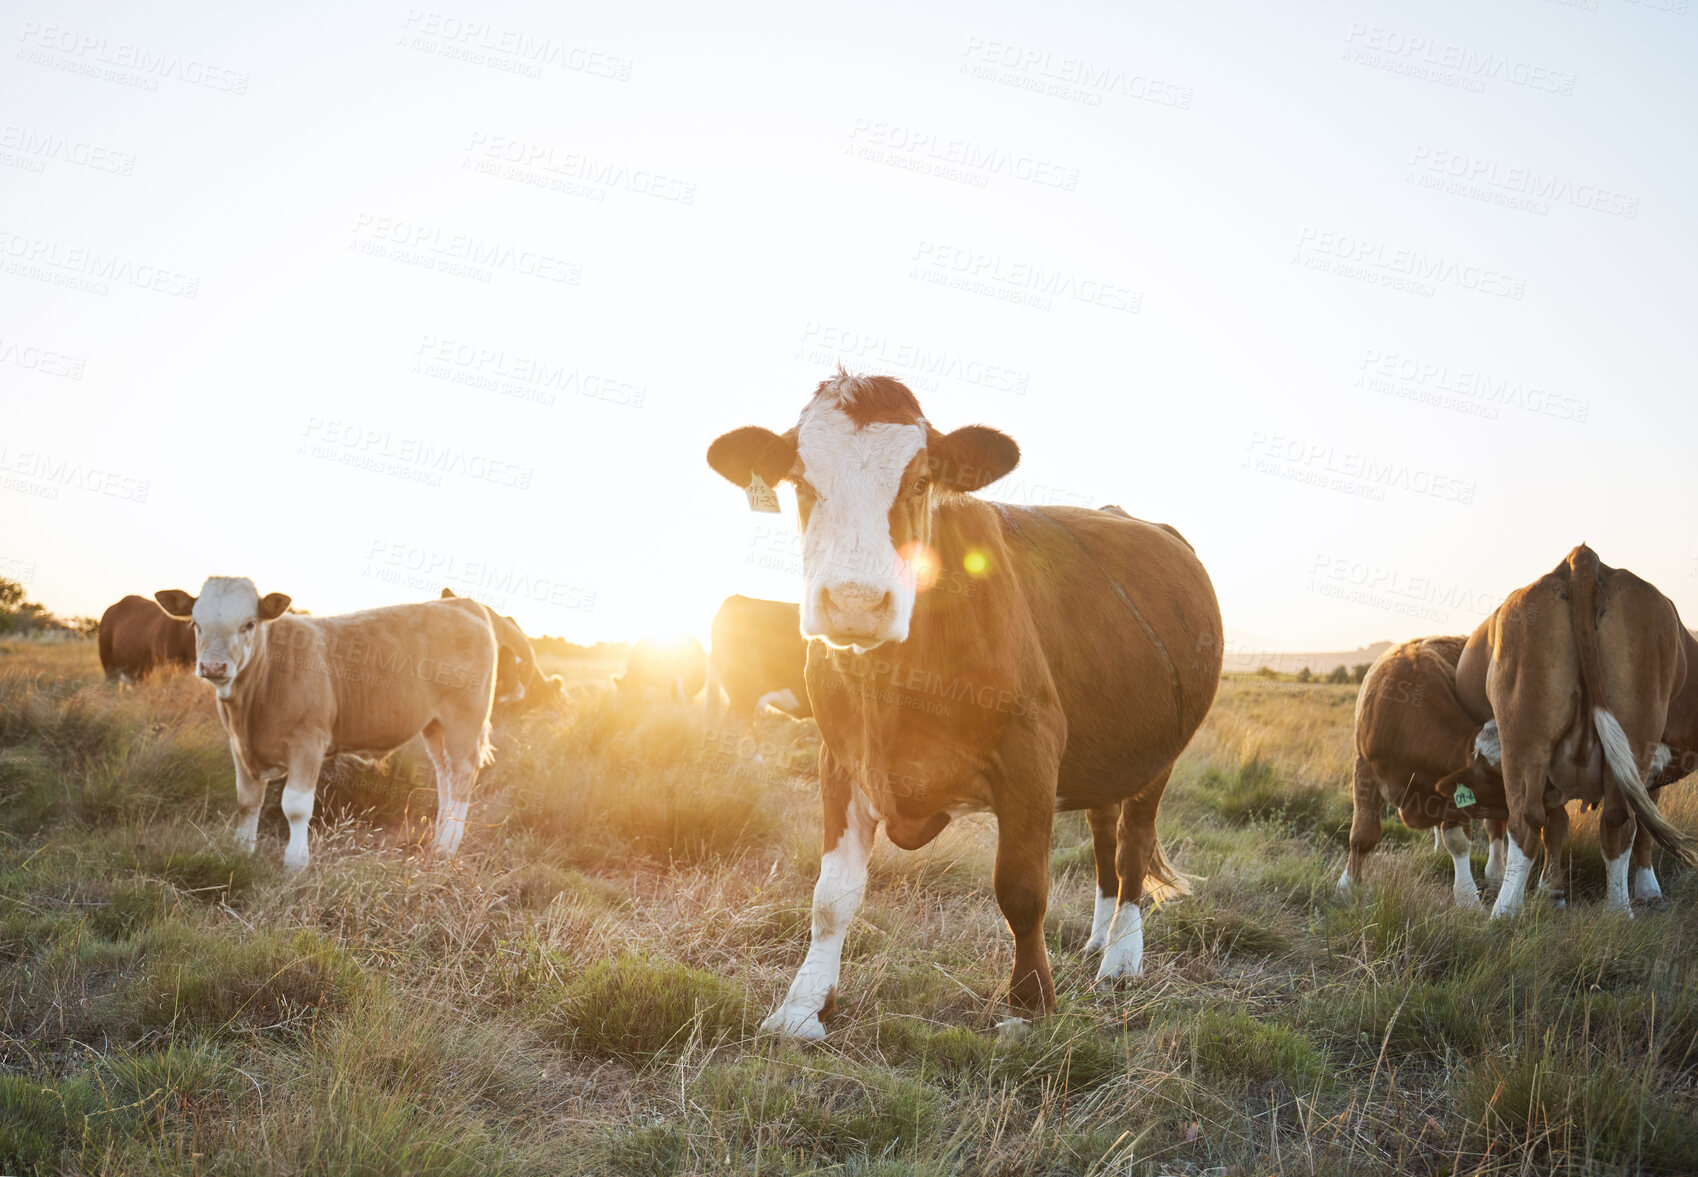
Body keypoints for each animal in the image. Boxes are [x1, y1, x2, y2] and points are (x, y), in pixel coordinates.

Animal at [153, 574, 499, 866]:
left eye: (248, 625)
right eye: (196, 624)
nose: (213, 666)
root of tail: (460, 603)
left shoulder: (308, 740)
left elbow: (295, 806)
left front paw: (295, 862)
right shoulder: (239, 745)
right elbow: (247, 801)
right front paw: (241, 851)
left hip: (463, 720)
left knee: (461, 777)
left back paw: (446, 849)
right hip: (435, 726)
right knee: (445, 776)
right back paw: (439, 839)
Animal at [709, 370, 1229, 1039]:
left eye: (920, 481)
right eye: (800, 481)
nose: (855, 602)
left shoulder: (1030, 749)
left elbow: (1022, 888)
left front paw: (1029, 1007)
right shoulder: (841, 754)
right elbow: (831, 896)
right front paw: (803, 1007)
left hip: (1157, 753)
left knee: (1133, 843)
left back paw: (1120, 959)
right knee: (1103, 833)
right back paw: (1097, 938)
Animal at [1338, 638, 1514, 903]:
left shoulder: (1454, 787)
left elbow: (1458, 841)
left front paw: (1467, 898)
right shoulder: (1364, 769)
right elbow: (1362, 834)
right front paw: (1347, 887)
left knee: (1496, 829)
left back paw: (1495, 875)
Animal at [1446, 543, 1698, 917]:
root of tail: (1583, 557)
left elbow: (1554, 826)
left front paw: (1550, 890)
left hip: (1528, 742)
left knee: (1533, 820)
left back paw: (1506, 912)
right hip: (1630, 740)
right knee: (1615, 821)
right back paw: (1615, 912)